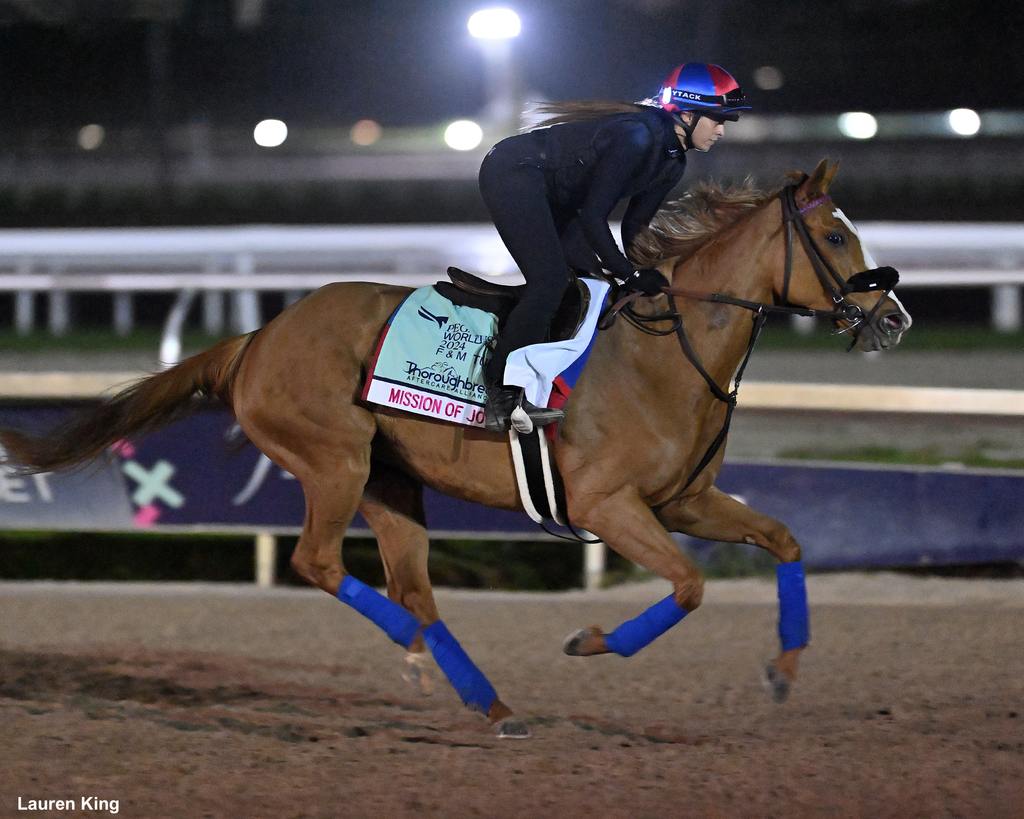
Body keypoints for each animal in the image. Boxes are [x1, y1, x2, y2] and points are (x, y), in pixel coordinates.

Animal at [0, 158, 913, 737]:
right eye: (837, 239)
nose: (894, 317)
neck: (664, 354)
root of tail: (257, 338)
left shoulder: (684, 499)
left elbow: (785, 539)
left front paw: (784, 669)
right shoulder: (608, 505)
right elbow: (688, 585)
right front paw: (591, 641)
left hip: (391, 484)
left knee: (416, 588)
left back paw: (486, 700)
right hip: (335, 462)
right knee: (319, 563)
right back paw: (425, 655)